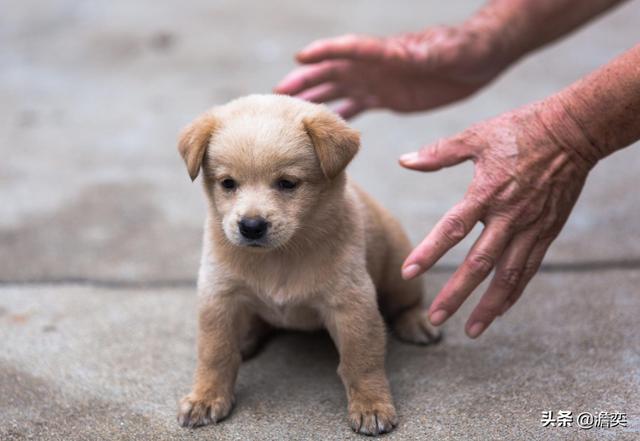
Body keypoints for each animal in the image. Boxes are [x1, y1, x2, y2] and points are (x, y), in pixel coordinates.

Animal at [178, 94, 442, 434]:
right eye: (227, 183)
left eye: (287, 183)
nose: (251, 226)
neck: (279, 257)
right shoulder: (219, 297)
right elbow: (215, 354)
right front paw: (206, 397)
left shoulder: (352, 304)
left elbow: (361, 361)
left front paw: (371, 405)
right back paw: (246, 337)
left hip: (399, 268)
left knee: (405, 302)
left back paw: (416, 322)